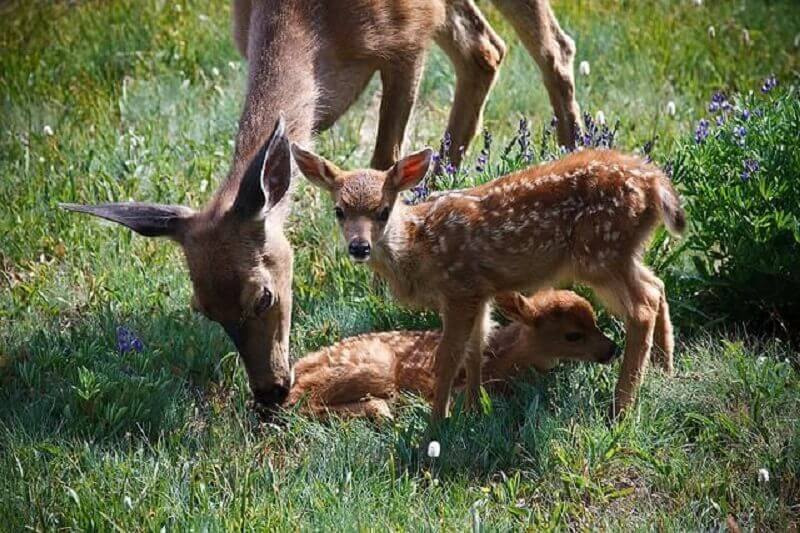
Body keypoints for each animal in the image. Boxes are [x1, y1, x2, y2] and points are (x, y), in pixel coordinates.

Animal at [59, 0, 580, 406]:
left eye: (263, 295)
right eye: (203, 310)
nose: (270, 392)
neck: (315, 29)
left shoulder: (406, 37)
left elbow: (384, 161)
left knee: (551, 46)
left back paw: (573, 152)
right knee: (485, 49)